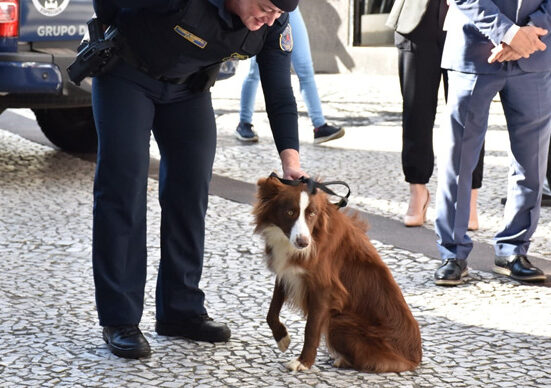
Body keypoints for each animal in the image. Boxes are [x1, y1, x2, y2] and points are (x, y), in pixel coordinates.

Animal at [254, 176, 422, 372]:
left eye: (312, 213)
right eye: (290, 212)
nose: (303, 242)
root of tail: (415, 359)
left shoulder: (324, 288)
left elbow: (311, 328)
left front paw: (303, 362)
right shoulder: (288, 271)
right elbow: (272, 310)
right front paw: (282, 338)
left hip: (340, 321)